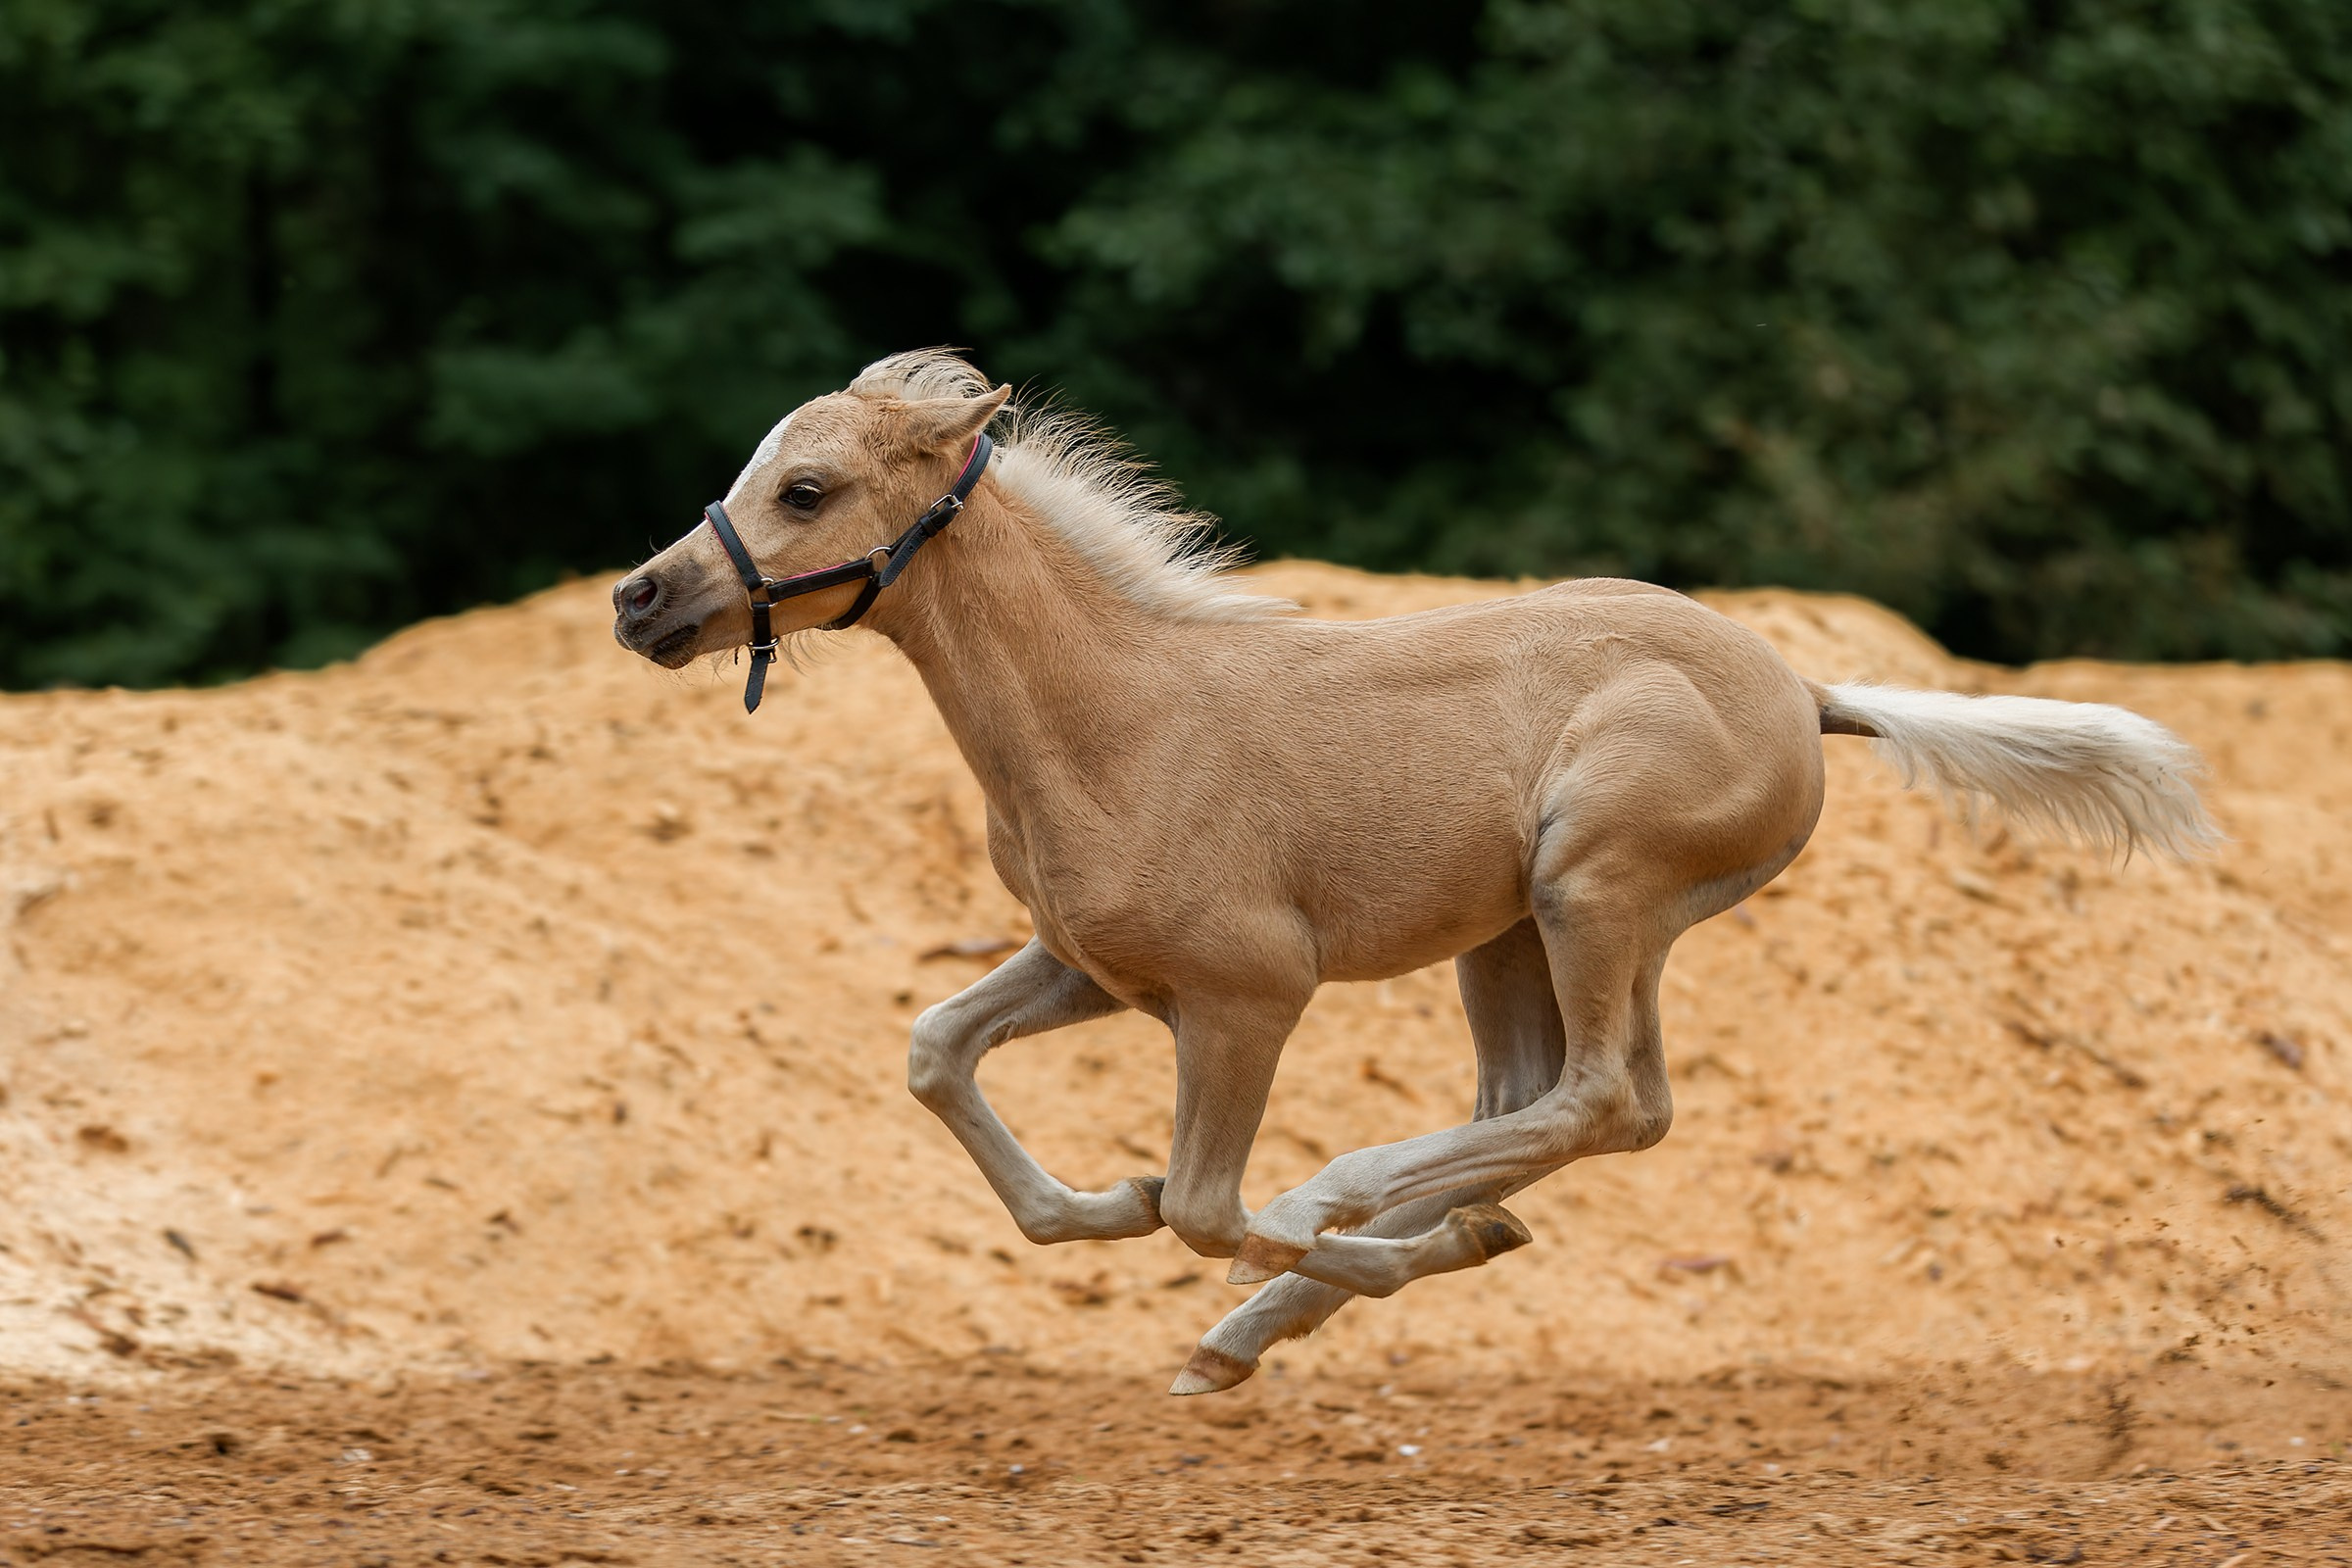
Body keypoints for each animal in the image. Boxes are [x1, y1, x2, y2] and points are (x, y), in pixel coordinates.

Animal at [611, 350, 2214, 1395]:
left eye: (804, 487)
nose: (641, 598)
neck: (1117, 716)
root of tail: (1807, 692)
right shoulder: (1093, 967)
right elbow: (941, 1053)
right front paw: (1110, 1206)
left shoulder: (1248, 993)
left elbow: (1206, 1204)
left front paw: (1250, 1226)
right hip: (1504, 940)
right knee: (1538, 1108)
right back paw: (1322, 1290)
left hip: (1594, 891)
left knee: (1607, 1101)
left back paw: (1335, 1228)